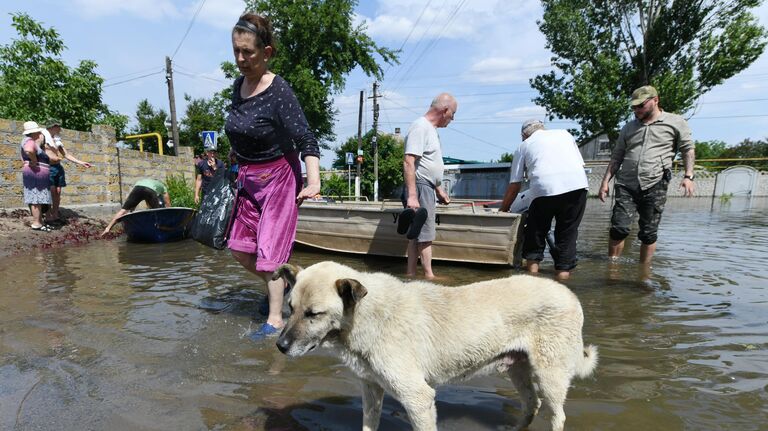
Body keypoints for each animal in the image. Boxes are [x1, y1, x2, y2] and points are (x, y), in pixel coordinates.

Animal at [272, 262, 596, 430]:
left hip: (550, 375)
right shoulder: (372, 389)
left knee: (556, 414)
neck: (366, 316)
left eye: (314, 314)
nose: (280, 346)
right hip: (518, 369)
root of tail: (570, 296)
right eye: (290, 308)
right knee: (532, 404)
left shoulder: (418, 398)